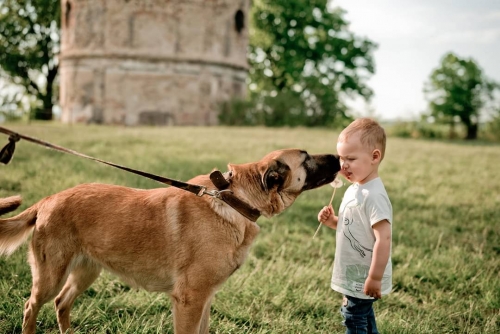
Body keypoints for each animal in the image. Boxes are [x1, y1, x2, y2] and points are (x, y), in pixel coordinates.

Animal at [0, 149, 340, 334]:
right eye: (306, 159)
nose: (338, 156)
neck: (233, 199)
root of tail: (48, 200)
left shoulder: (205, 299)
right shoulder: (189, 300)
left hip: (86, 272)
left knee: (61, 303)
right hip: (50, 276)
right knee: (31, 306)